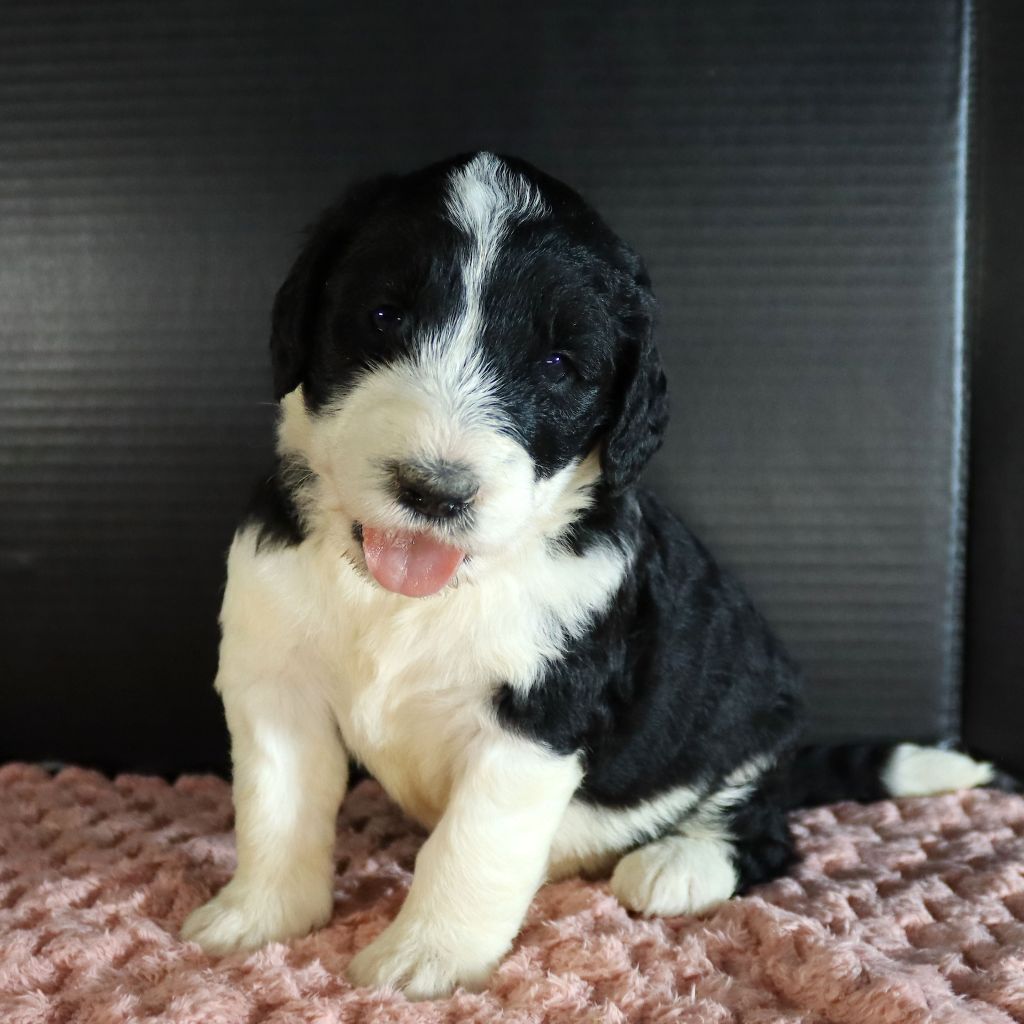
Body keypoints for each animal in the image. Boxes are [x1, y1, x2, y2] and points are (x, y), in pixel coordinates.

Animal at [181, 152, 993, 999]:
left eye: (558, 366)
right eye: (383, 317)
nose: (435, 490)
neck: (412, 597)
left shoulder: (535, 721)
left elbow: (471, 844)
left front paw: (426, 956)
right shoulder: (276, 681)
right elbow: (277, 806)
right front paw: (260, 914)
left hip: (753, 728)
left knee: (767, 833)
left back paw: (679, 863)